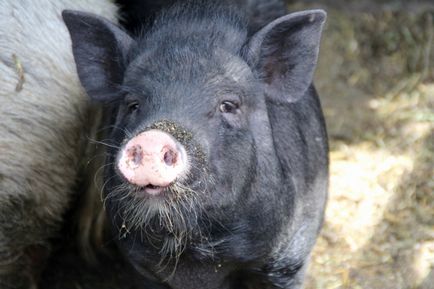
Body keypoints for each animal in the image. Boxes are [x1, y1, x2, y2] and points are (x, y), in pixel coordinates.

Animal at [62, 1, 328, 286]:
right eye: (132, 104)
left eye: (228, 105)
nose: (153, 137)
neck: (198, 261)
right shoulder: (141, 265)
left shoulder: (290, 260)